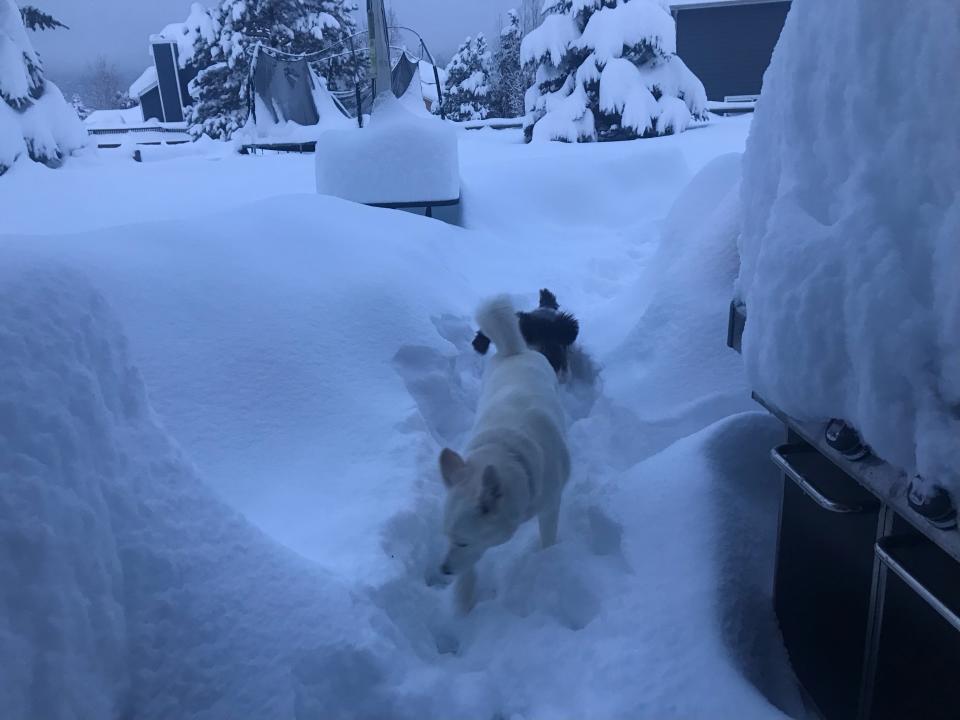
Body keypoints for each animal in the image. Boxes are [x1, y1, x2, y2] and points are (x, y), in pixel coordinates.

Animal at [436, 296, 568, 612]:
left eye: (462, 542)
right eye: (447, 537)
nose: (442, 570)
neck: (508, 453)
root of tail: (513, 352)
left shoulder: (551, 504)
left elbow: (548, 537)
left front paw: (548, 560)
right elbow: (468, 574)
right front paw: (464, 601)